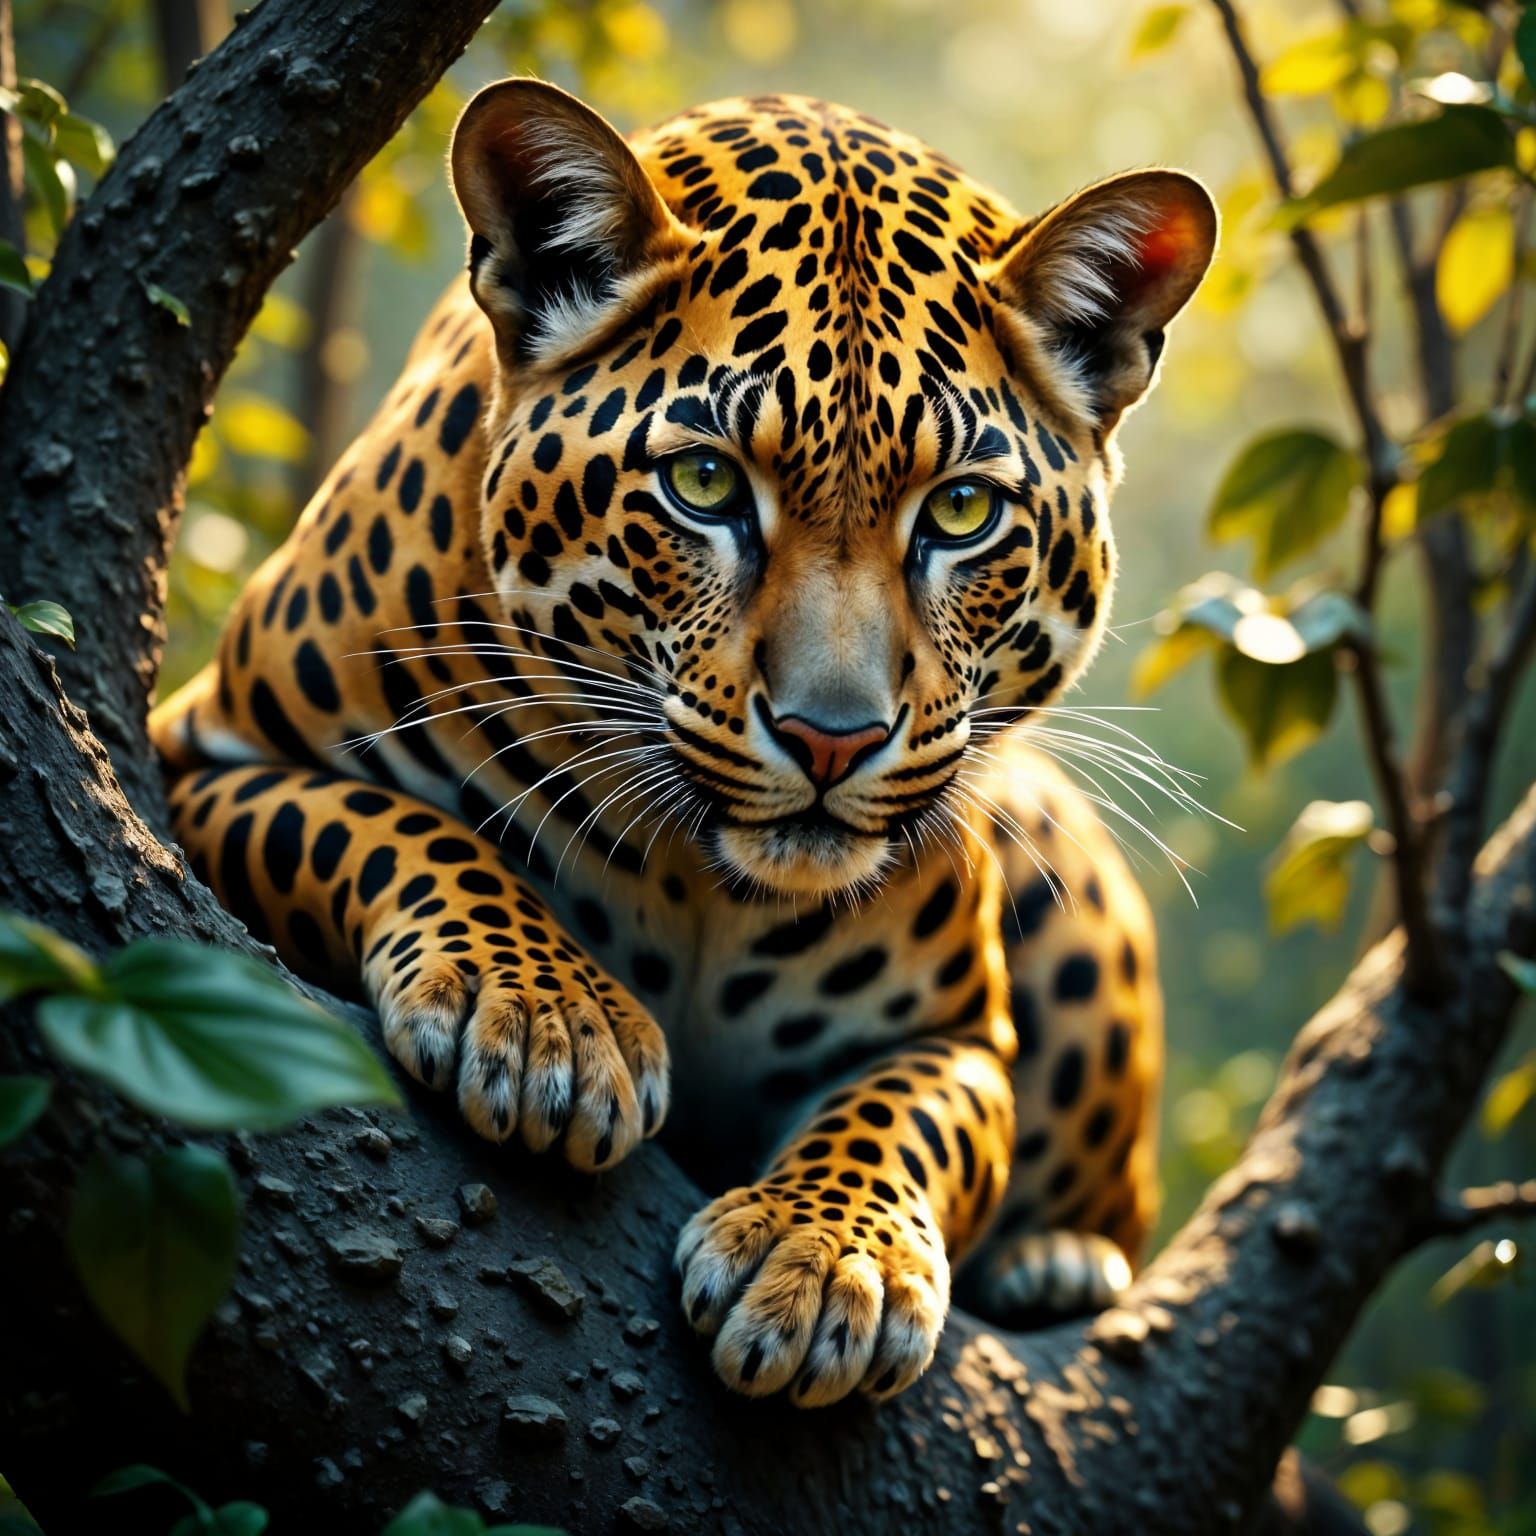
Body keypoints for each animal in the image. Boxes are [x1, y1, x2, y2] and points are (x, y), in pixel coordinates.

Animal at [150, 79, 1216, 1407]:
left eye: (964, 511)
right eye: (705, 485)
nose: (830, 738)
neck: (706, 883)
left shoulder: (960, 1034)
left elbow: (914, 1118)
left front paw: (828, 1257)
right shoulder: (204, 763)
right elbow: (390, 823)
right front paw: (549, 1015)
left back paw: (1059, 1264)